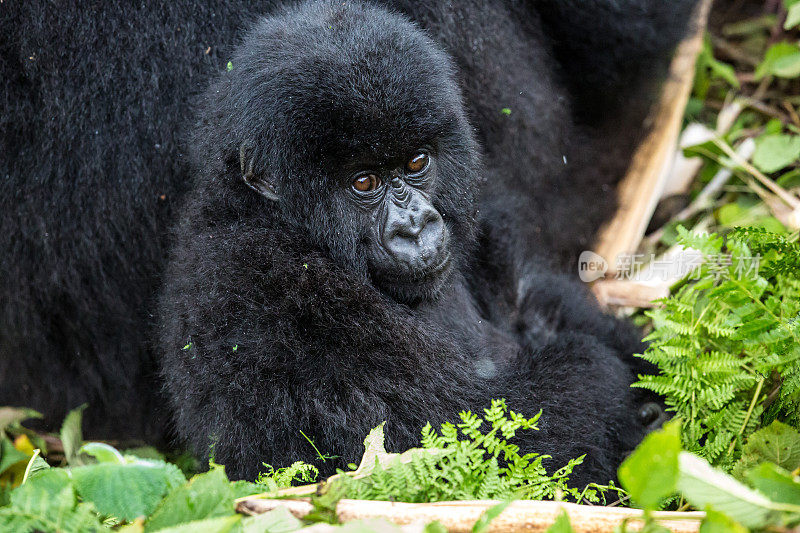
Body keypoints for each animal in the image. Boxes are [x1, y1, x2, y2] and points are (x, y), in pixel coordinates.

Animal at [0, 0, 692, 482]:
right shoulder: (257, 291)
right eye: (363, 182)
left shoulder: (483, 216)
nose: (415, 226)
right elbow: (458, 445)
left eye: (415, 163)